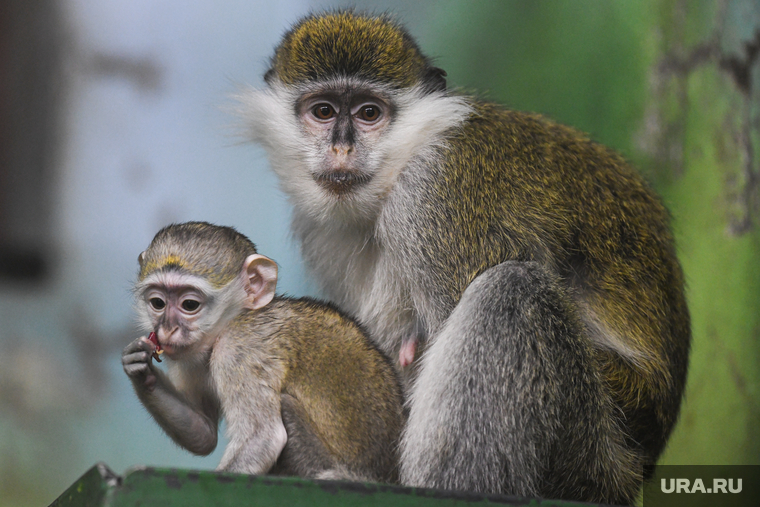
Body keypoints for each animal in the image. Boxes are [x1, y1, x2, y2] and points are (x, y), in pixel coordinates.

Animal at [121, 223, 404, 484]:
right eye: (158, 303)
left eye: (189, 305)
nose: (167, 329)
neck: (235, 320)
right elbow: (203, 434)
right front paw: (140, 370)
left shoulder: (240, 348)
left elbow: (263, 438)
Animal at [236, 10, 688, 504]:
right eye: (323, 111)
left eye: (369, 113)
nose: (342, 147)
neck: (402, 164)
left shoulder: (435, 195)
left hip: (587, 457)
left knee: (513, 291)